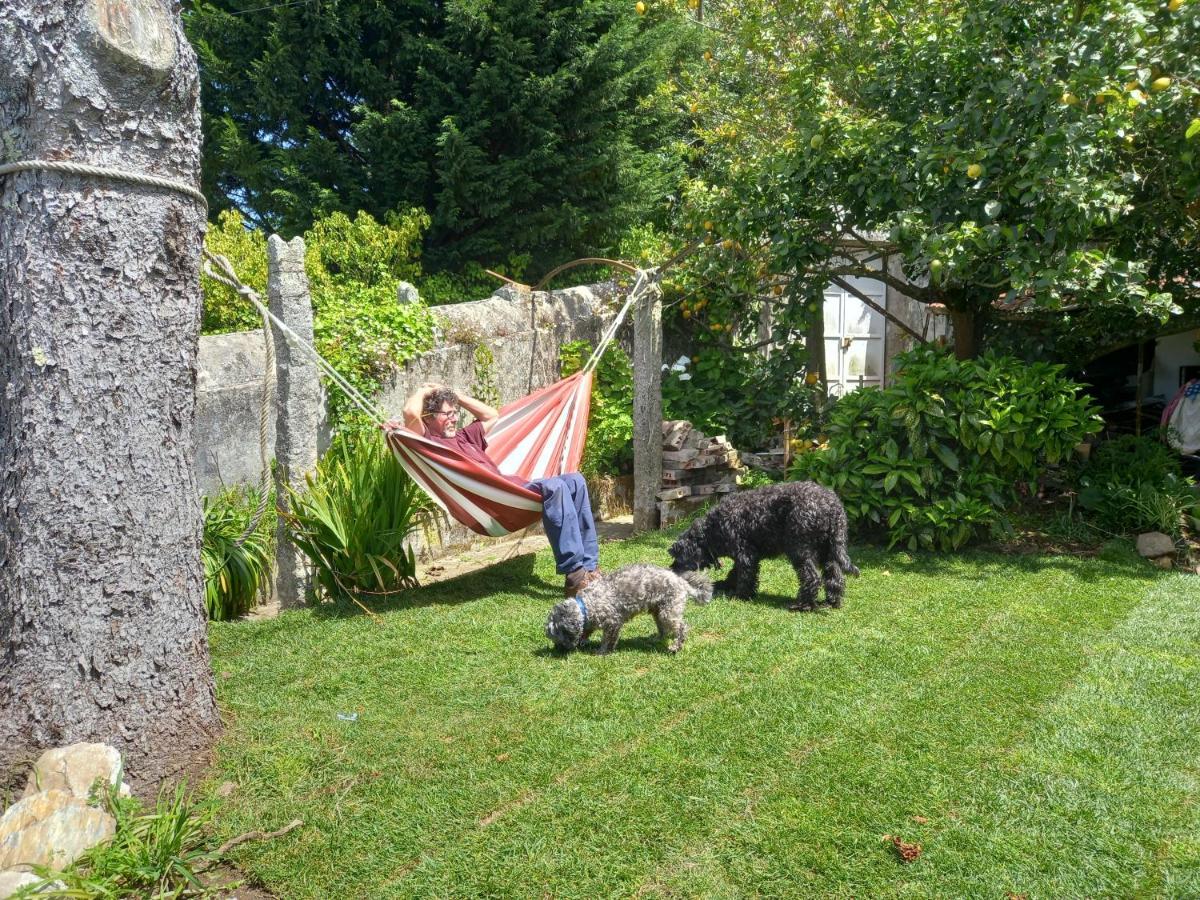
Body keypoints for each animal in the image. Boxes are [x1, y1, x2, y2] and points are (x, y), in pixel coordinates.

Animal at [547, 564, 710, 657]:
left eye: (555, 638)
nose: (556, 650)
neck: (585, 606)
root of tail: (681, 581)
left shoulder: (613, 624)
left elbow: (607, 640)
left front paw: (602, 652)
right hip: (657, 611)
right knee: (663, 629)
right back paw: (656, 638)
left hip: (668, 612)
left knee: (682, 627)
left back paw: (676, 646)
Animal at [672, 480, 859, 614]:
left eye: (677, 558)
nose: (671, 569)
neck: (711, 531)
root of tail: (834, 506)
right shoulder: (744, 555)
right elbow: (735, 572)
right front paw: (726, 585)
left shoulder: (745, 554)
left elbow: (744, 575)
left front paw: (740, 595)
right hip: (828, 550)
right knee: (835, 576)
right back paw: (831, 602)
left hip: (800, 550)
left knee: (812, 578)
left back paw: (802, 605)